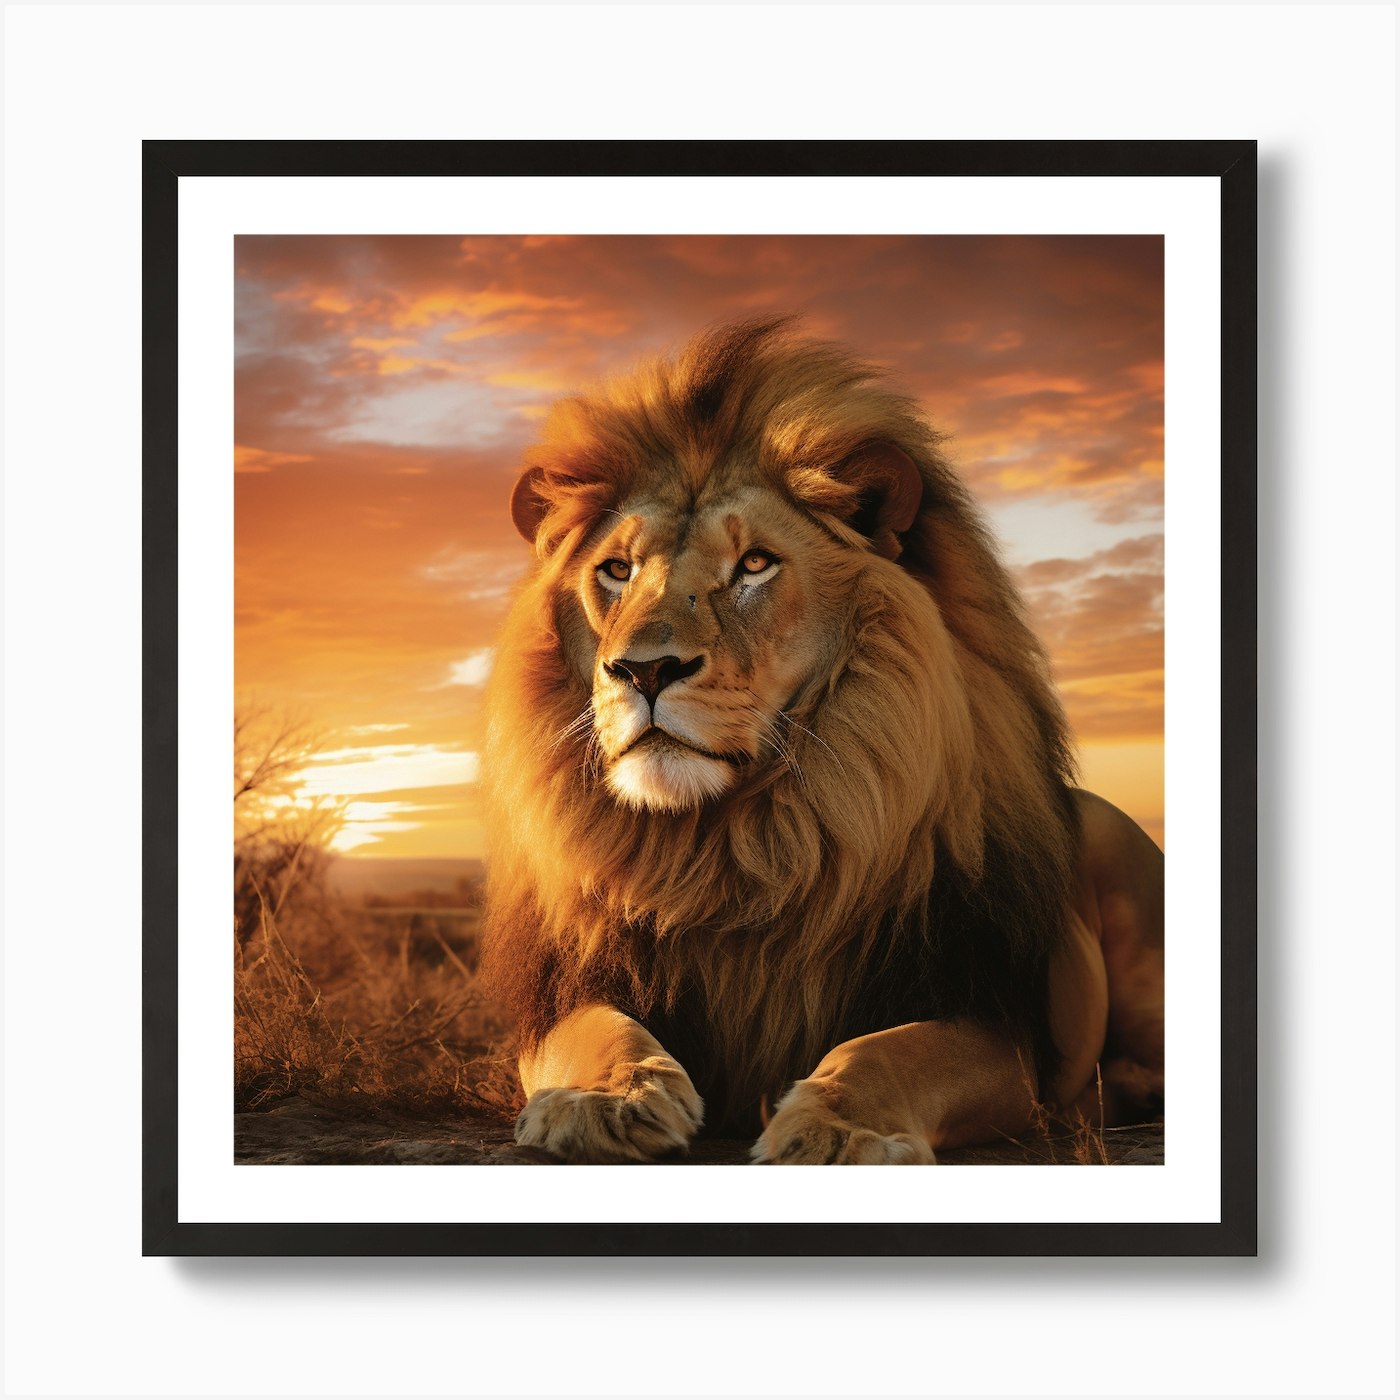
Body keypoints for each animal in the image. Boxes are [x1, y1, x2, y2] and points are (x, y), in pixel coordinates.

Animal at [479, 318, 1163, 1164]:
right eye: (616, 570)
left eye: (755, 564)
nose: (644, 670)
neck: (731, 847)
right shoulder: (567, 992)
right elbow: (598, 1032)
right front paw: (608, 1101)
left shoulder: (986, 1018)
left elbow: (887, 1051)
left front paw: (839, 1127)